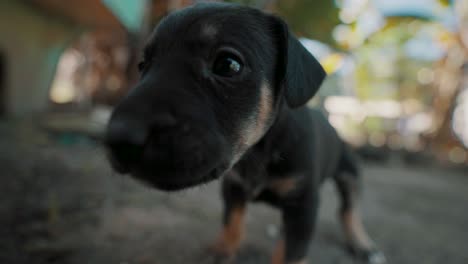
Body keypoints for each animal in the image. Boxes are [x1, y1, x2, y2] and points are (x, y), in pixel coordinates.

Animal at [105, 2, 384, 264]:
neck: (258, 151)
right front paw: (222, 251)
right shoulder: (234, 188)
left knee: (349, 210)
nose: (117, 137)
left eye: (228, 65)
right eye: (143, 65)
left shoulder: (303, 204)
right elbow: (232, 223)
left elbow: (291, 251)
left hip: (350, 173)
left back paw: (362, 243)